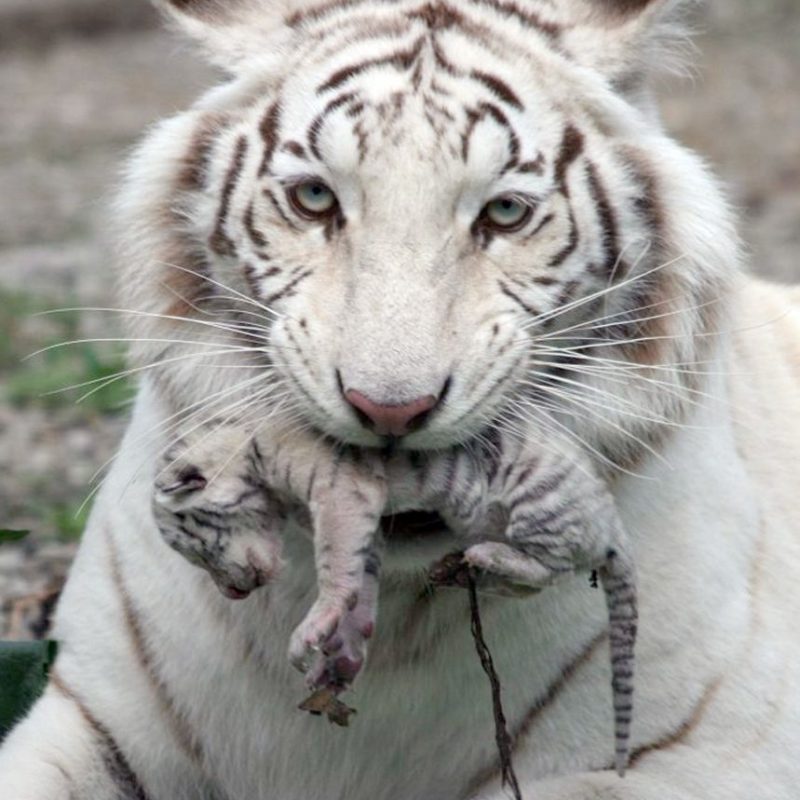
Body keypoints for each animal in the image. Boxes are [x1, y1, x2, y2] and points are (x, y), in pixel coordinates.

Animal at [152, 422, 636, 772]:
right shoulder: (364, 524)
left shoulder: (343, 492)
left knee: (550, 567)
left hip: (538, 501)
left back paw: (486, 555)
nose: (232, 593)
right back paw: (470, 567)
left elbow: (335, 566)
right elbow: (358, 583)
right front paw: (341, 659)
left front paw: (311, 630)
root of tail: (612, 524)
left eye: (199, 547)